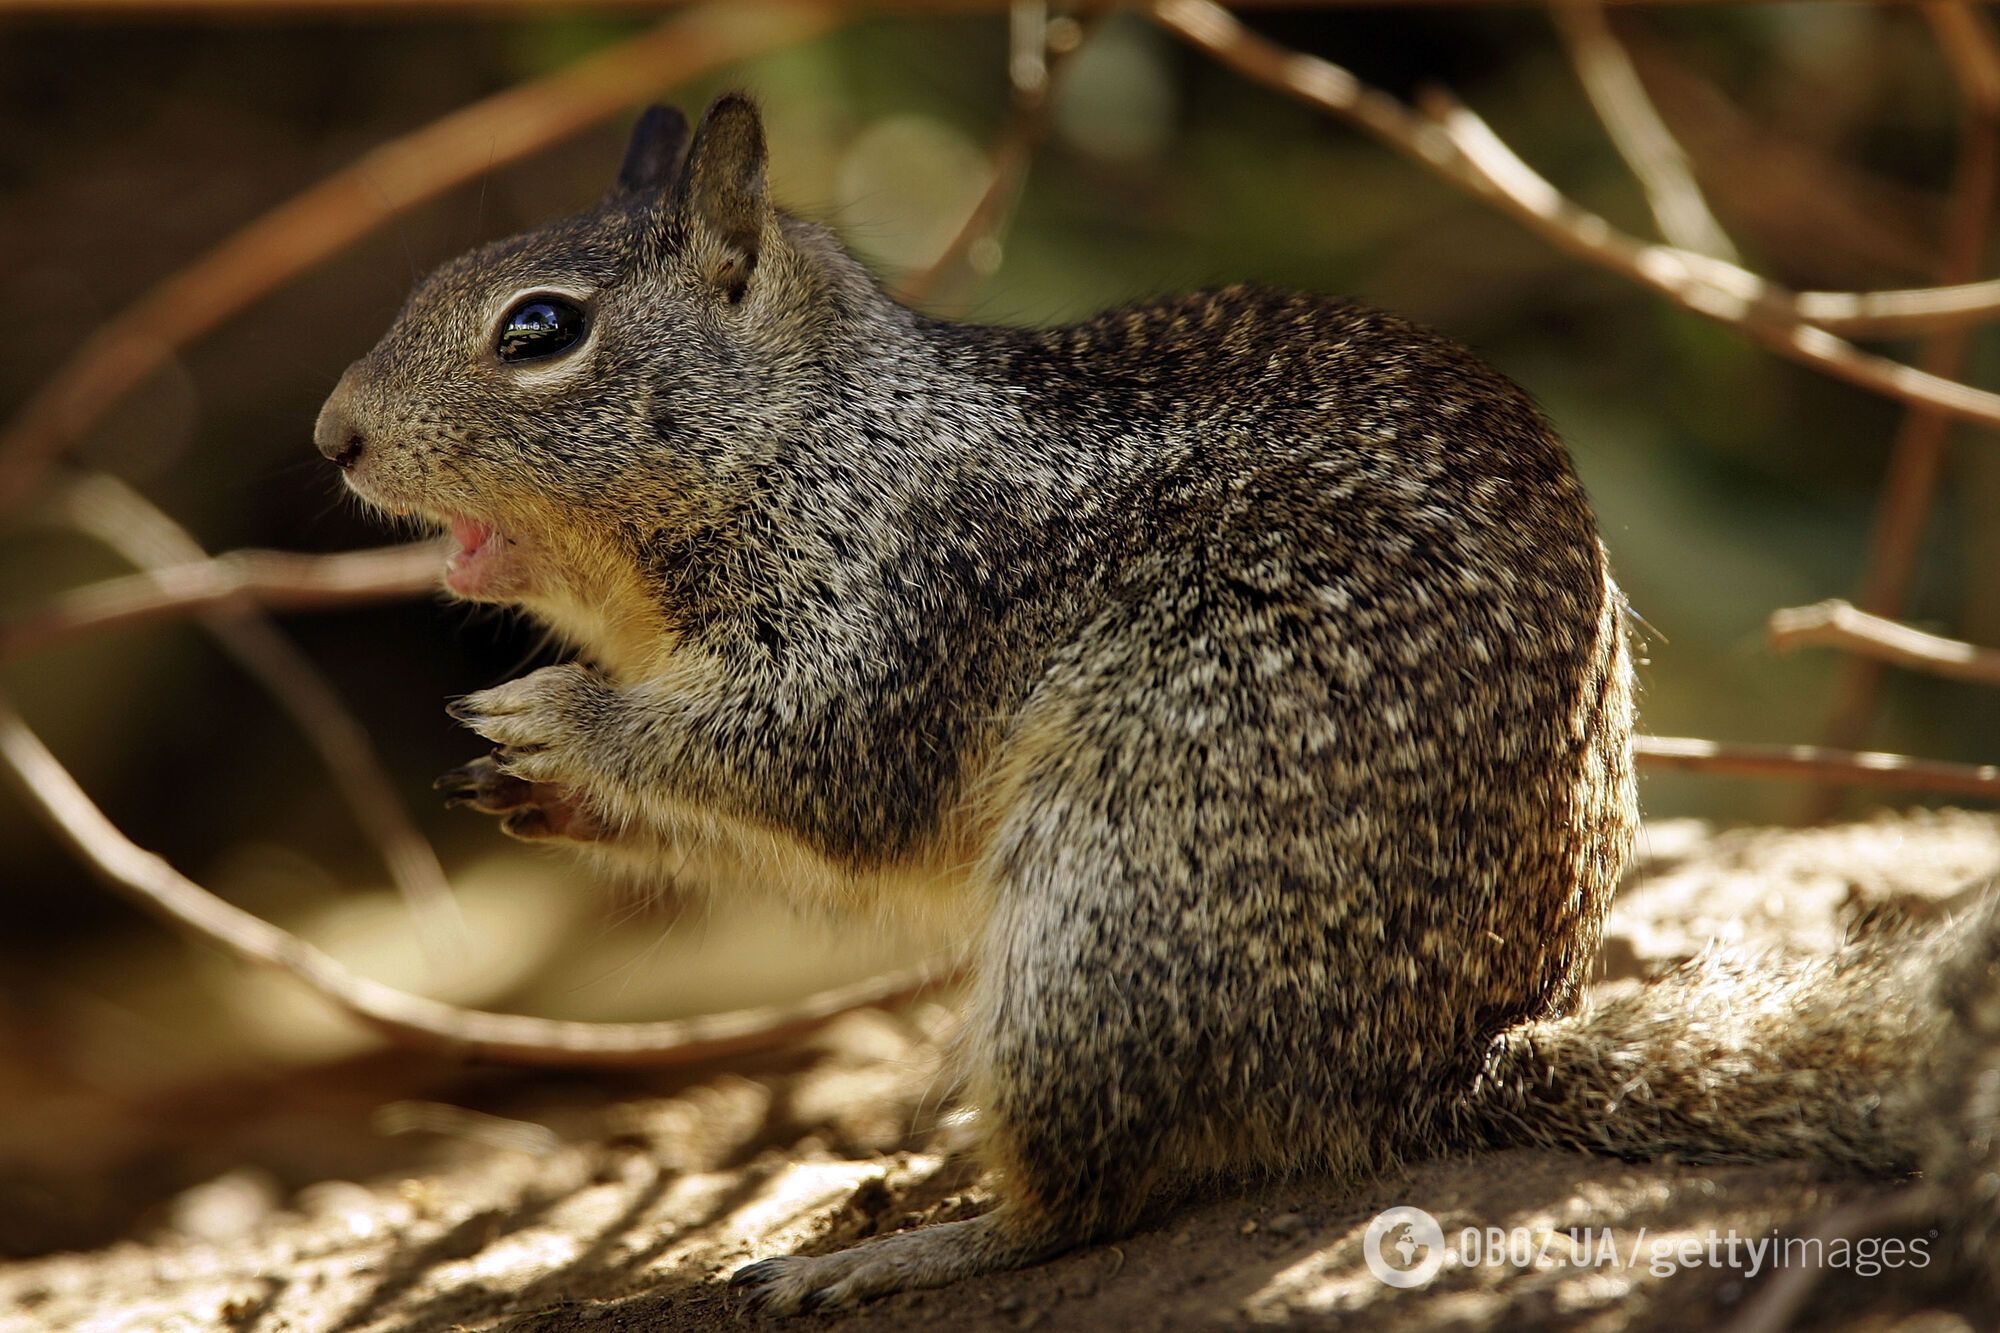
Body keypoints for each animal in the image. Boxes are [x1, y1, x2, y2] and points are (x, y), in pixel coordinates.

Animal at [312, 98, 2000, 1312]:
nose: (333, 436)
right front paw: (526, 787)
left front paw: (560, 725)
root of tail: (1453, 1059)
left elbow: (821, 765)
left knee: (1084, 1201)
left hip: (1108, 913)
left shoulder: (904, 600)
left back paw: (889, 1251)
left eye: (540, 328)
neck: (813, 432)